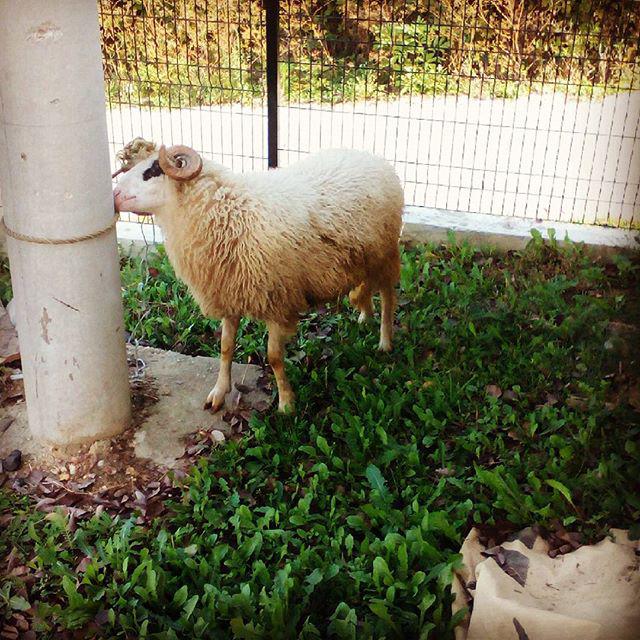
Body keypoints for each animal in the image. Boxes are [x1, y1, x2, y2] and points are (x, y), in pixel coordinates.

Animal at [114, 140, 403, 413]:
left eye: (152, 171)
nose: (114, 195)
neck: (226, 212)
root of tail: (372, 157)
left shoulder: (277, 301)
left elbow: (274, 356)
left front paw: (286, 404)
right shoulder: (228, 293)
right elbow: (225, 347)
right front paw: (219, 392)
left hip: (386, 253)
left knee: (388, 295)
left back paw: (385, 341)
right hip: (362, 256)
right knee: (365, 285)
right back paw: (364, 312)